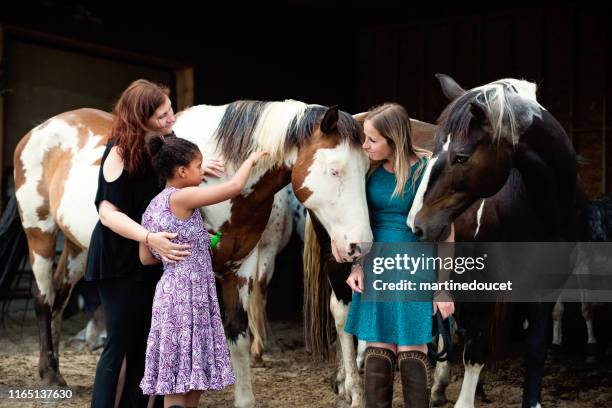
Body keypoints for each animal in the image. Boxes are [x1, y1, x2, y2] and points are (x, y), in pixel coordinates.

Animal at [11, 100, 370, 406]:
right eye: (335, 170)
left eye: (366, 170)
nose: (360, 245)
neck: (221, 177)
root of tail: (36, 131)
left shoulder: (240, 267)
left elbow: (237, 331)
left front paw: (243, 398)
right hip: (39, 235)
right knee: (44, 298)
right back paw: (49, 376)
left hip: (77, 249)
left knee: (59, 298)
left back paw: (56, 369)